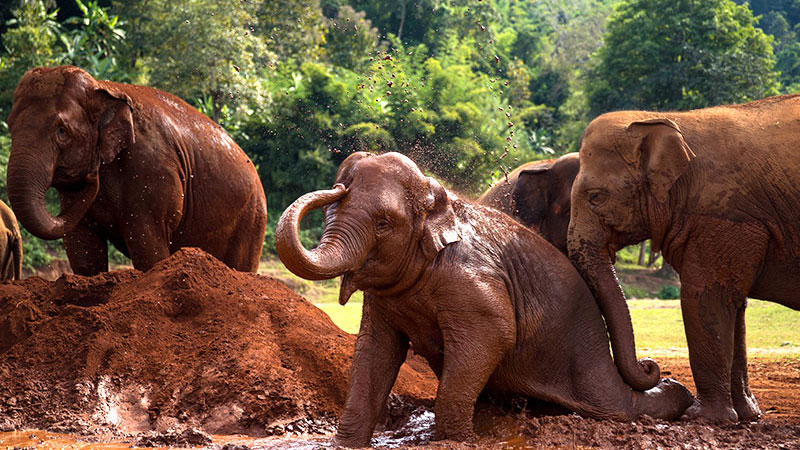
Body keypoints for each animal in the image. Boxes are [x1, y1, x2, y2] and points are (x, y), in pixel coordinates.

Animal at [6, 66, 267, 275]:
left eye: (62, 131)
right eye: (10, 125)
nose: (93, 173)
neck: (103, 88)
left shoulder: (151, 169)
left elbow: (147, 247)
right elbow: (83, 250)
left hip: (252, 220)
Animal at [276, 151, 693, 447]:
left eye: (383, 223)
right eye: (331, 210)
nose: (337, 184)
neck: (437, 202)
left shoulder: (471, 280)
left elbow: (494, 332)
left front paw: (457, 440)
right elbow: (374, 350)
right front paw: (344, 445)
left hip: (585, 364)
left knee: (617, 407)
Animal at [567, 96, 800, 424]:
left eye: (596, 197)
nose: (651, 366)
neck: (664, 119)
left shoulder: (722, 217)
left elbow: (705, 298)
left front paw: (702, 418)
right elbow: (734, 304)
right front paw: (746, 416)